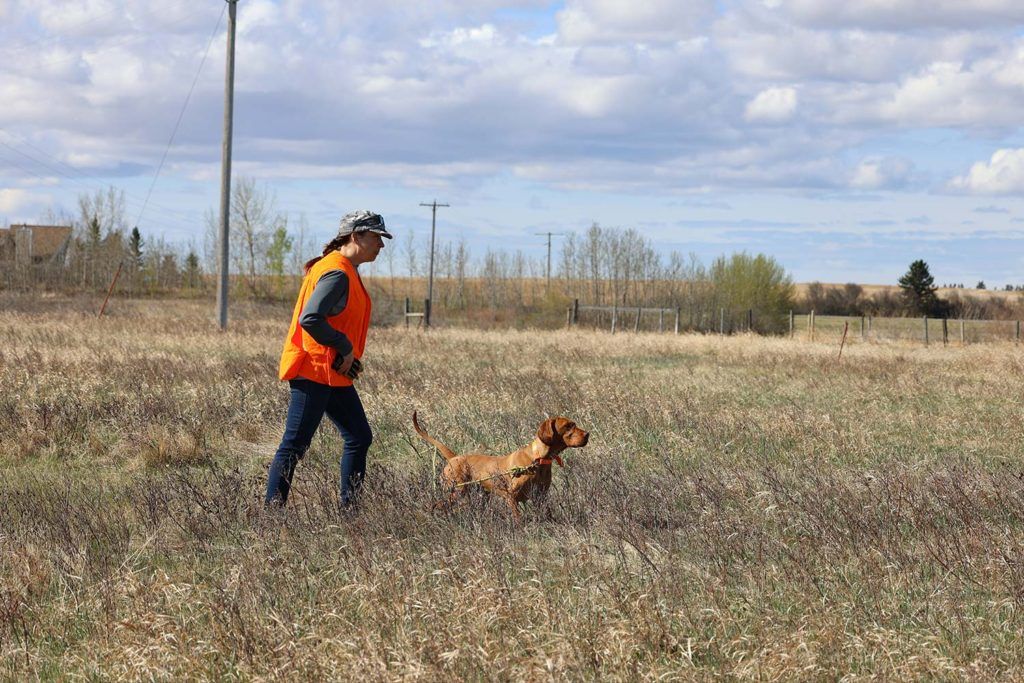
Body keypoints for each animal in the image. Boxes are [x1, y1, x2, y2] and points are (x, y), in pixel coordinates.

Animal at [409, 413, 589, 520]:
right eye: (568, 426)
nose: (588, 434)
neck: (538, 459)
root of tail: (455, 457)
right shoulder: (511, 497)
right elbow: (518, 519)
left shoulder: (541, 497)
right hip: (457, 491)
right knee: (438, 504)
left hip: (478, 495)